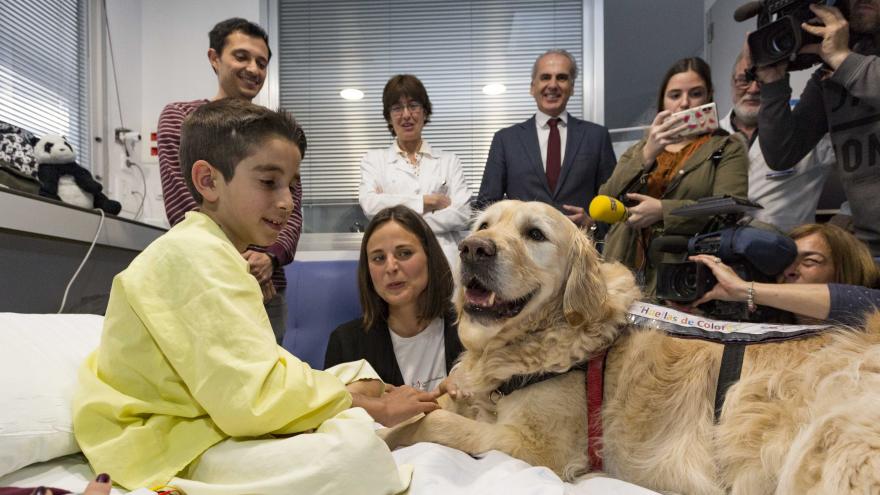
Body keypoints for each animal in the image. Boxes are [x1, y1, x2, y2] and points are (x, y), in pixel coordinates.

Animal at [380, 200, 880, 494]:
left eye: (535, 234)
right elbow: (442, 401)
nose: (472, 249)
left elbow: (436, 422)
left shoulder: (533, 448)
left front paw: (389, 434)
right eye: (484, 224)